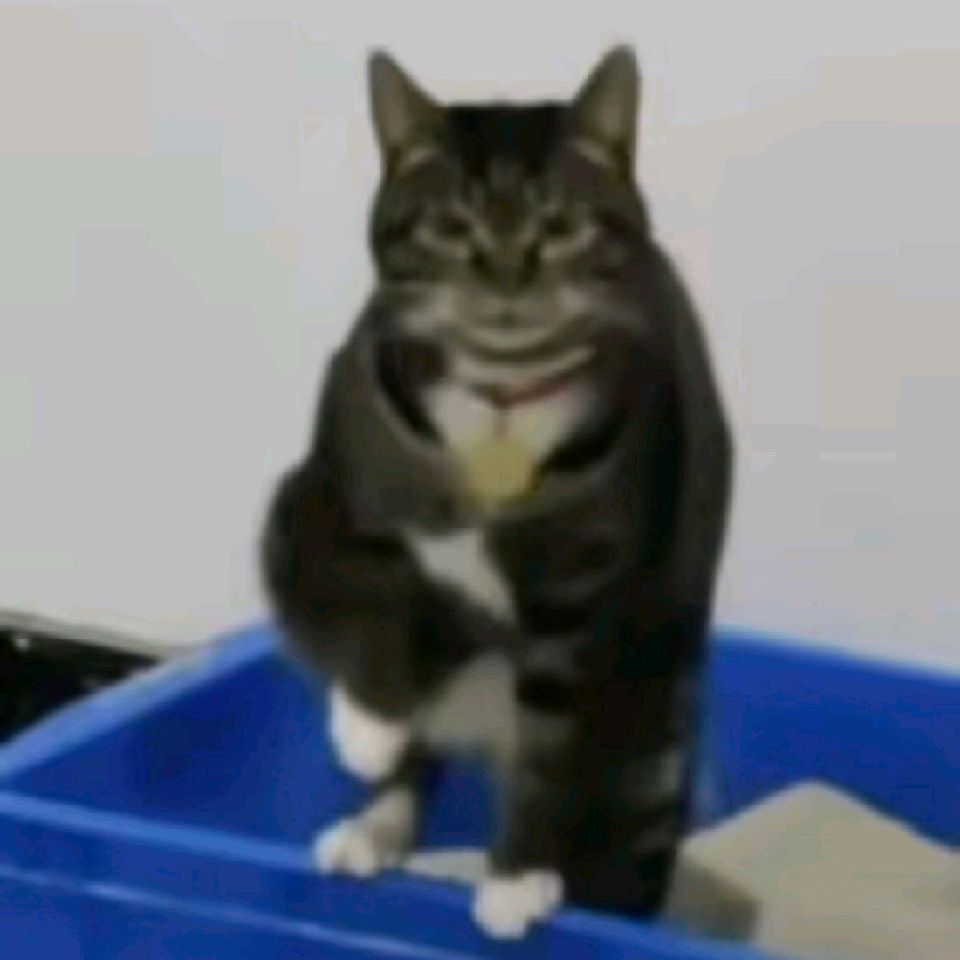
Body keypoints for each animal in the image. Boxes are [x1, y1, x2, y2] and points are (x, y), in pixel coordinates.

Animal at [261, 46, 732, 940]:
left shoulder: (587, 601)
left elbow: (558, 746)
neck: (500, 404)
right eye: (451, 227)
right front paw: (368, 728)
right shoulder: (319, 506)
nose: (509, 276)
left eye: (561, 225)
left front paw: (519, 878)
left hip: (659, 727)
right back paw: (375, 826)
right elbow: (371, 592)